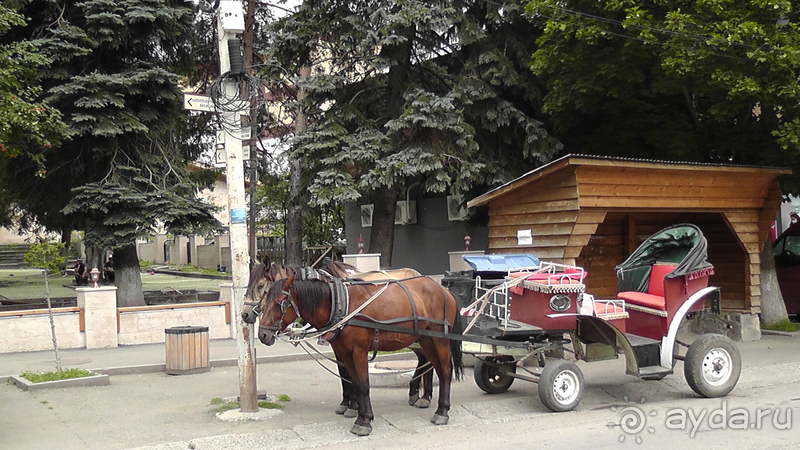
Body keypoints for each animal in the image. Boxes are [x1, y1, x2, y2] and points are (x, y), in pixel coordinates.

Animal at [241, 260, 438, 418]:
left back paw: (424, 396)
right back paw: (417, 394)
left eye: (260, 286)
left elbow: (349, 375)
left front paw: (353, 406)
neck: (334, 298)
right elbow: (344, 374)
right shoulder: (338, 346)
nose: (244, 314)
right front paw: (347, 403)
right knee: (424, 357)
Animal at [260, 274, 466, 436]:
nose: (262, 335)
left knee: (445, 371)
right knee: (432, 365)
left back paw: (442, 412)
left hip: (439, 340)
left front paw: (364, 421)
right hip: (425, 339)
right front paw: (358, 414)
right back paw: (427, 400)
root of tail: (444, 290)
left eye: (279, 303)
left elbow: (364, 385)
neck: (341, 304)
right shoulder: (344, 352)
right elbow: (355, 383)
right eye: (264, 300)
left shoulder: (359, 352)